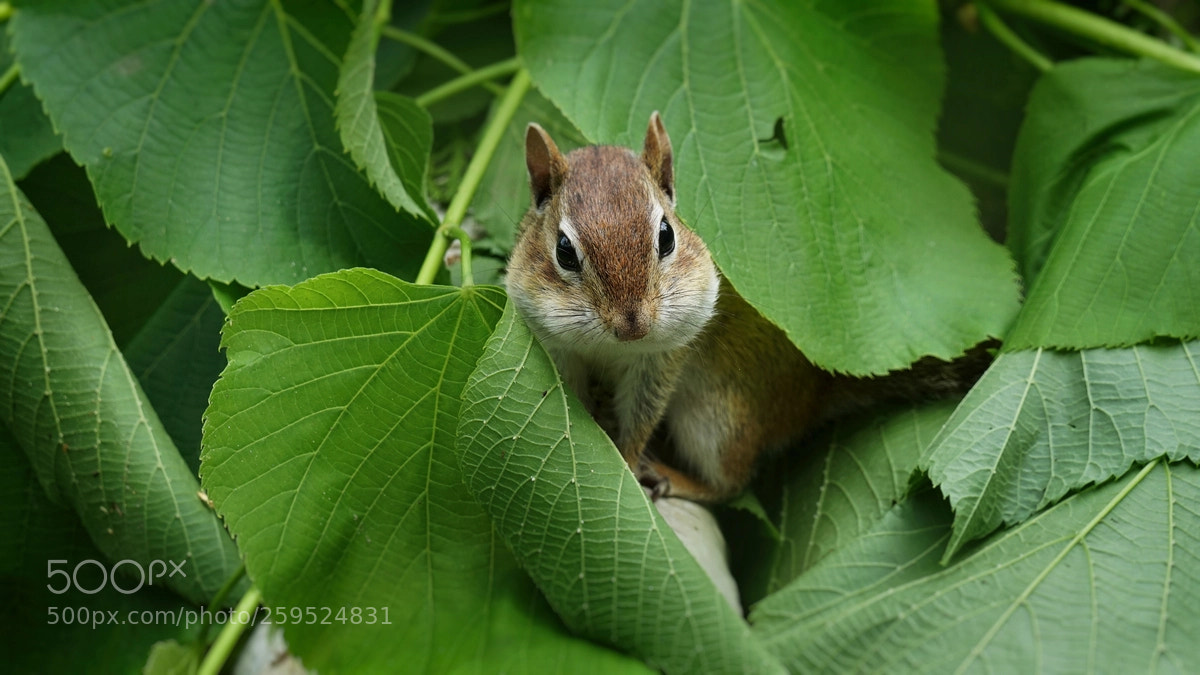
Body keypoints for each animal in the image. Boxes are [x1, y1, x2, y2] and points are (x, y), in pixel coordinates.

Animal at [506, 112, 986, 503]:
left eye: (666, 235)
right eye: (564, 250)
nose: (632, 327)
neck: (612, 348)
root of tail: (815, 391)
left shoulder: (662, 358)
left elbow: (642, 416)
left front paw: (624, 459)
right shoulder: (558, 350)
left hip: (719, 418)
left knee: (733, 483)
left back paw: (676, 478)